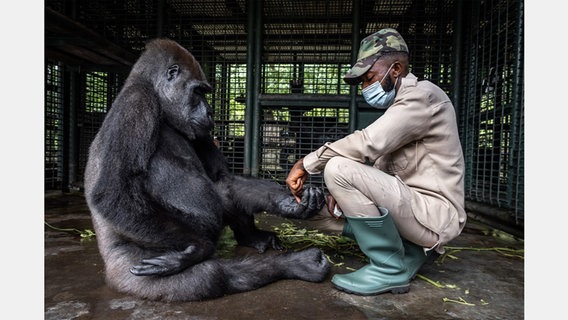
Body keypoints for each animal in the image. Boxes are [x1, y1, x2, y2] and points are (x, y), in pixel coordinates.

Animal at [85, 38, 332, 302]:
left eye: (204, 93)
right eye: (197, 92)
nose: (210, 112)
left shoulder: (199, 129)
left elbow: (222, 178)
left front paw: (291, 204)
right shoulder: (137, 102)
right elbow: (113, 192)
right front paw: (195, 248)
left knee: (224, 191)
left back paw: (257, 240)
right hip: (125, 270)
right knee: (209, 275)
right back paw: (296, 264)